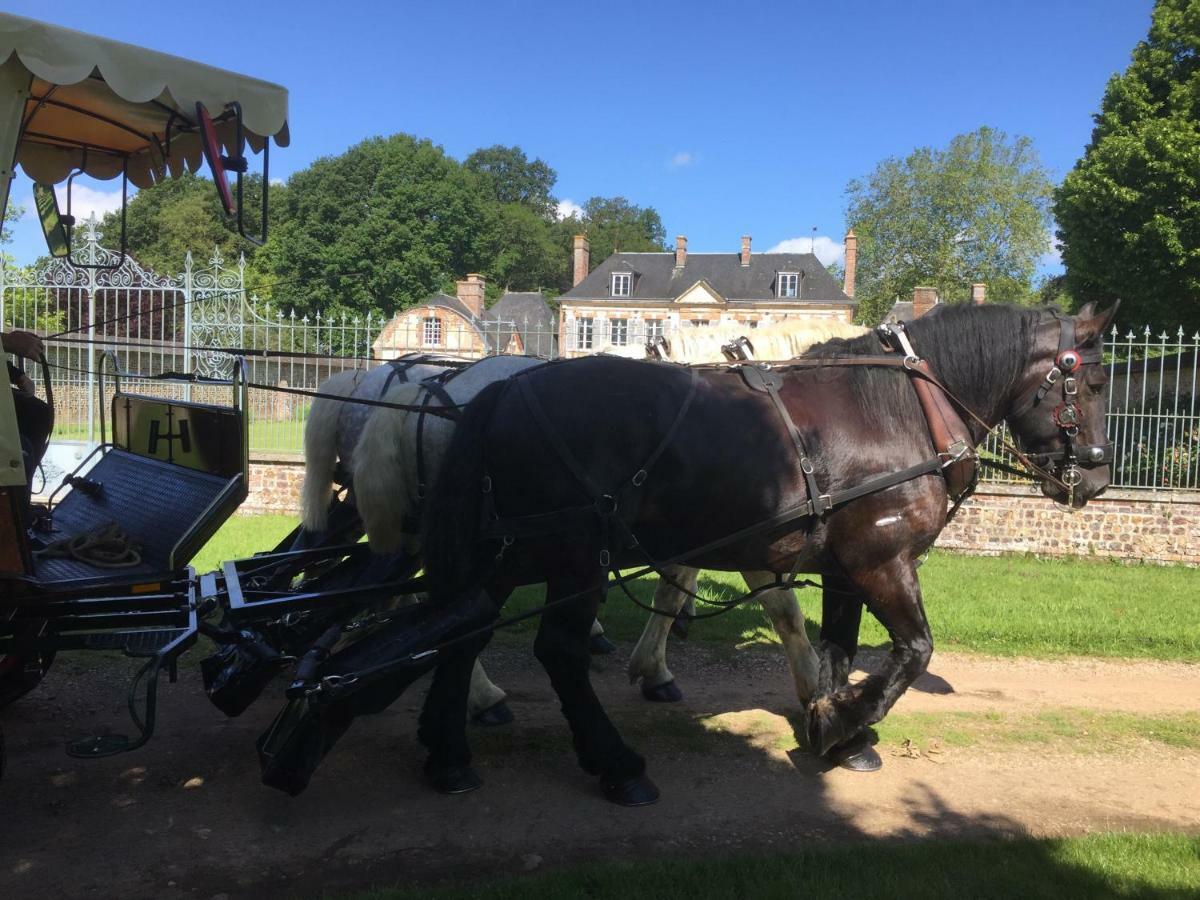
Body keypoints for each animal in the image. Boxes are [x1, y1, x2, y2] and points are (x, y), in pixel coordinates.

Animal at [420, 303, 1113, 801]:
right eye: (1094, 380)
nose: (1097, 479)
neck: (896, 408)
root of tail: (505, 391)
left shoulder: (846, 567)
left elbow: (838, 648)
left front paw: (838, 727)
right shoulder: (882, 563)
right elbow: (913, 652)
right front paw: (839, 722)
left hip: (508, 550)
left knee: (462, 631)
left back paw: (449, 755)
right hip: (573, 554)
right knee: (558, 652)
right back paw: (615, 765)